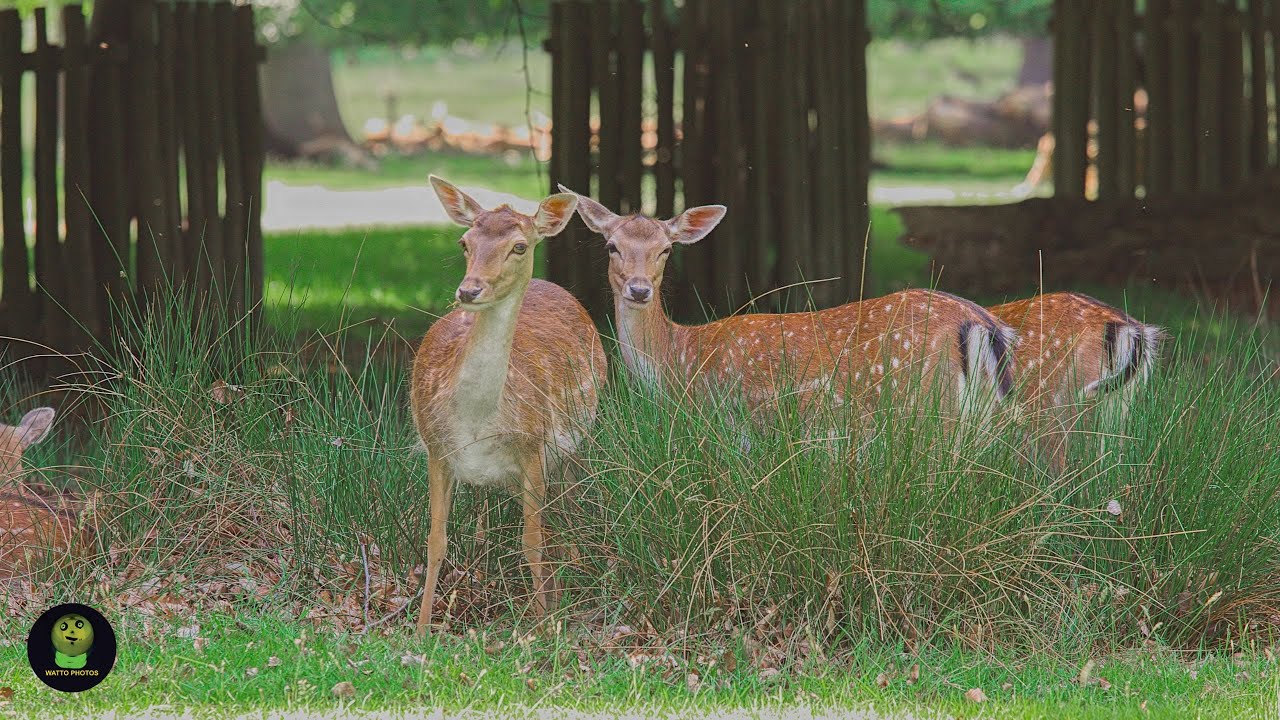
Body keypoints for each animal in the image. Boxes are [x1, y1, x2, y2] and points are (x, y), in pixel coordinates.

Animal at [410, 177, 607, 636]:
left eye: (519, 246)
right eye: (464, 242)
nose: (469, 290)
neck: (477, 420)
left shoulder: (533, 447)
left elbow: (530, 542)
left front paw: (542, 629)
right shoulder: (435, 448)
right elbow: (436, 540)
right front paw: (421, 628)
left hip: (580, 440)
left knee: (569, 509)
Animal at [560, 187, 1018, 434]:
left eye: (666, 249)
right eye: (611, 246)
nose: (638, 289)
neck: (679, 362)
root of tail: (980, 322)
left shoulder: (731, 420)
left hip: (927, 406)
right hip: (981, 415)